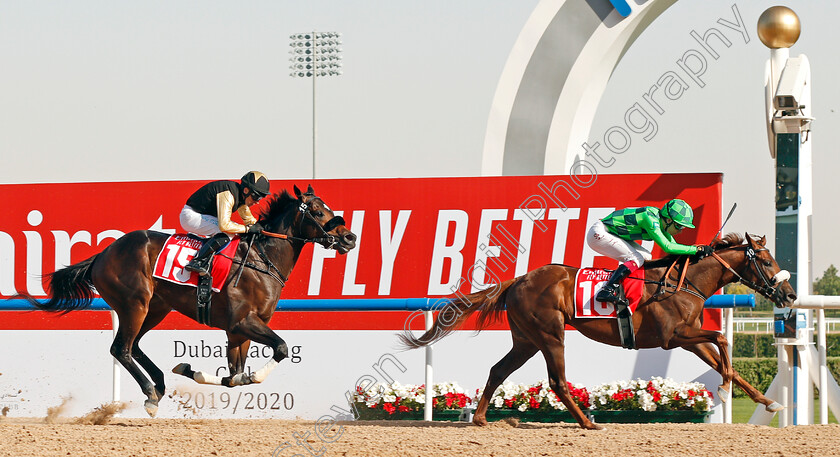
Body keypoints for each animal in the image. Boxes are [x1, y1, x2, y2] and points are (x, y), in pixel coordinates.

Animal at [15, 183, 354, 416]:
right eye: (318, 211)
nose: (349, 237)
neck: (263, 259)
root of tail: (103, 253)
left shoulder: (238, 331)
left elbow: (235, 377)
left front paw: (189, 370)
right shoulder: (242, 322)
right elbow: (279, 351)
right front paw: (245, 373)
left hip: (156, 308)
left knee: (134, 345)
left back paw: (160, 382)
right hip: (134, 303)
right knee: (120, 348)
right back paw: (151, 394)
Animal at [400, 233, 796, 430]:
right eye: (765, 260)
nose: (790, 294)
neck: (684, 282)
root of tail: (519, 279)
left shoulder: (689, 339)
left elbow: (725, 357)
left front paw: (768, 401)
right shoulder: (672, 338)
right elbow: (723, 339)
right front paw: (726, 389)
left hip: (526, 340)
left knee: (499, 370)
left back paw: (481, 418)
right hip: (550, 335)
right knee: (558, 381)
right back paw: (588, 425)